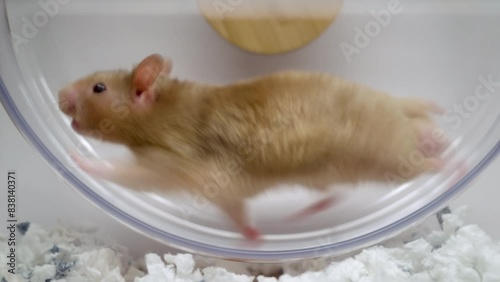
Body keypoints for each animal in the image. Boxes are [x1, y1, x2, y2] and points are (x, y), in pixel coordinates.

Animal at [57, 53, 446, 240]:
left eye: (98, 88)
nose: (59, 94)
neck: (159, 114)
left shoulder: (175, 167)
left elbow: (125, 173)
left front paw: (77, 160)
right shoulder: (223, 190)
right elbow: (239, 213)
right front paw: (255, 239)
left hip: (391, 161)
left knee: (425, 161)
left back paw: (451, 162)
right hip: (333, 168)